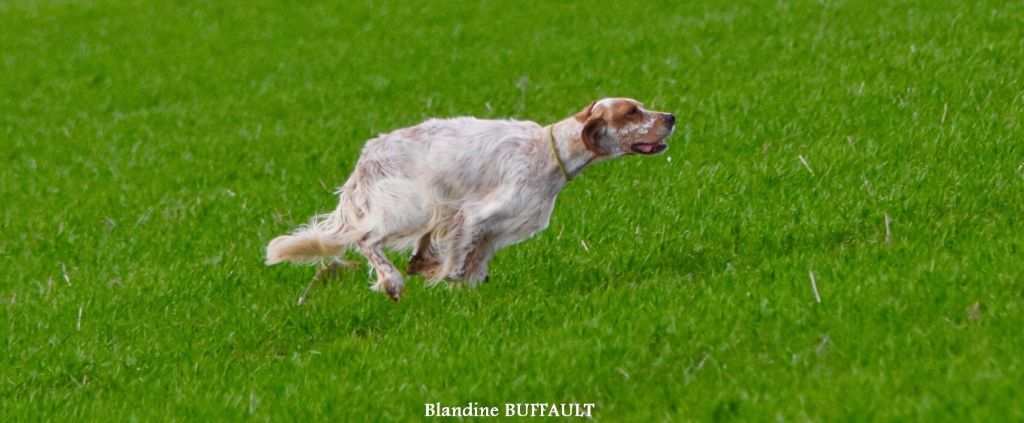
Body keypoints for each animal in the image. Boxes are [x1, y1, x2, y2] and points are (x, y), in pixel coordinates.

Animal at [268, 96, 675, 299]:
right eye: (632, 112)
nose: (671, 116)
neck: (550, 151)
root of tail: (365, 160)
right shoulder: (476, 215)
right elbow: (459, 261)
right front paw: (442, 277)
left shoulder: (492, 230)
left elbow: (472, 265)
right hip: (410, 206)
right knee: (367, 239)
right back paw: (392, 283)